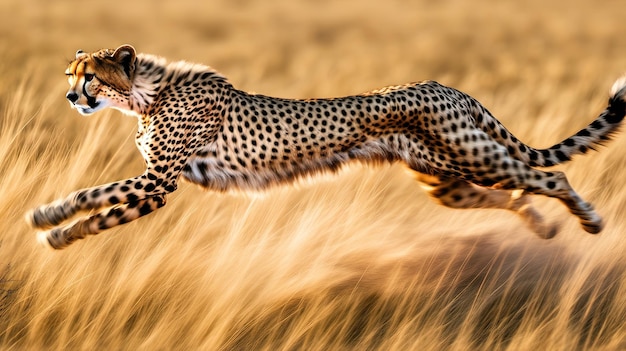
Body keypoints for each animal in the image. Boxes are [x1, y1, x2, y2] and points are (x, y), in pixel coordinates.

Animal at [26, 45, 624, 249]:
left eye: (90, 77)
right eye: (70, 75)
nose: (70, 96)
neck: (145, 93)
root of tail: (446, 85)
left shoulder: (158, 182)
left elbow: (94, 194)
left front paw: (47, 216)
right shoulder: (155, 190)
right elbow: (103, 213)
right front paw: (59, 234)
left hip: (475, 156)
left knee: (550, 176)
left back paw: (590, 221)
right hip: (448, 180)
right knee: (512, 193)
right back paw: (543, 227)